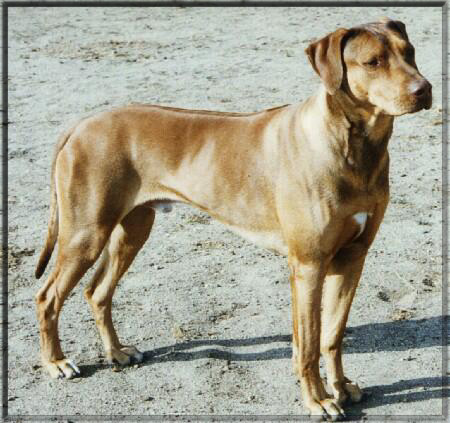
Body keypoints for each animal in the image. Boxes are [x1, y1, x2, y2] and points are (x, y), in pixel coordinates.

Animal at [35, 19, 432, 420]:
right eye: (372, 62)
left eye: (410, 52)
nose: (425, 89)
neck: (352, 145)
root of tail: (81, 124)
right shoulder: (309, 264)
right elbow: (309, 343)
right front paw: (318, 399)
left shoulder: (351, 257)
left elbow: (331, 336)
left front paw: (341, 387)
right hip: (85, 232)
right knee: (48, 296)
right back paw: (56, 362)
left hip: (133, 228)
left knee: (97, 291)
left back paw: (116, 352)